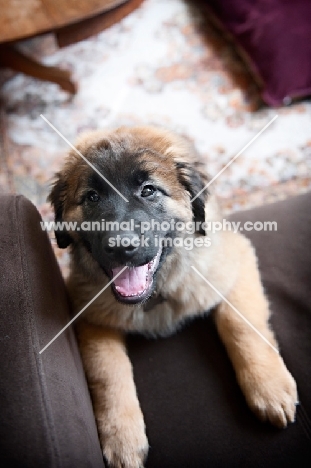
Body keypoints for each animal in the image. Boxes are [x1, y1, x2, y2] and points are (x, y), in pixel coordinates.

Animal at [49, 126, 300, 466]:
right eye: (92, 197)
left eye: (148, 190)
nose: (120, 246)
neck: (157, 293)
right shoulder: (89, 314)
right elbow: (108, 372)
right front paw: (122, 438)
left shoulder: (236, 261)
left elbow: (240, 326)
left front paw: (270, 388)